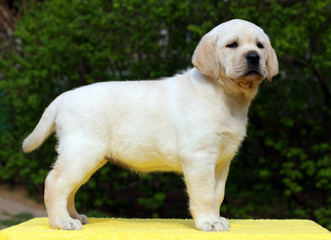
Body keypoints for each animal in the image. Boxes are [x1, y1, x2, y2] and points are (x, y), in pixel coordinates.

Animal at [22, 19, 278, 232]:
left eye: (260, 45)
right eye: (232, 45)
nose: (253, 56)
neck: (225, 95)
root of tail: (63, 96)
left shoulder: (223, 159)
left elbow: (217, 194)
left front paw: (217, 218)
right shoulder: (199, 156)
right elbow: (205, 194)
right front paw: (208, 222)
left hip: (86, 158)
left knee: (69, 187)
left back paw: (74, 216)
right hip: (83, 152)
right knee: (55, 182)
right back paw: (61, 222)